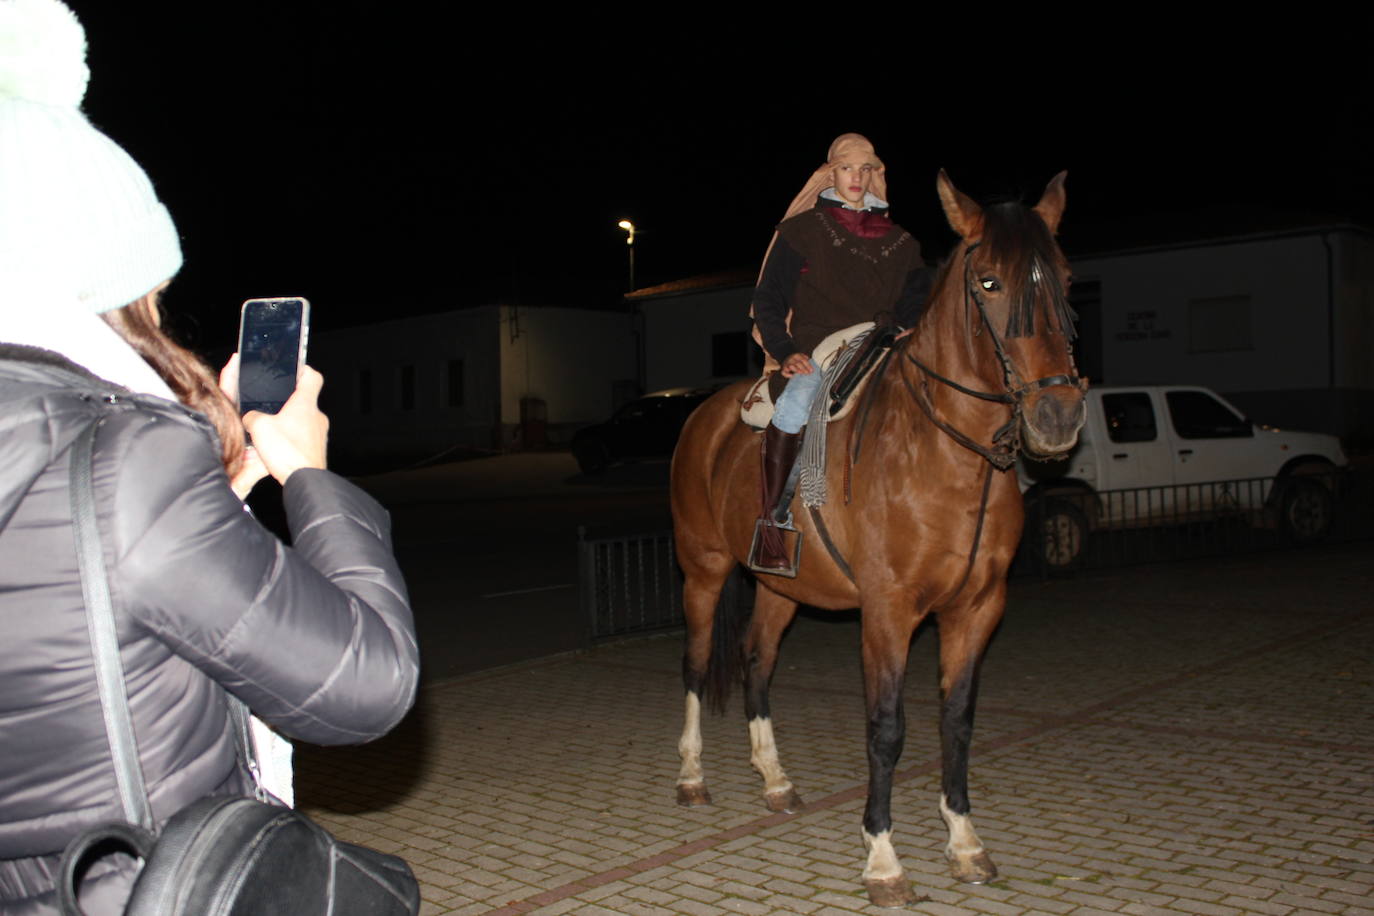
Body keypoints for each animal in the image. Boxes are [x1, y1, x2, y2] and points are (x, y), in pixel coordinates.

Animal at [665, 168, 1082, 906]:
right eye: (989, 283)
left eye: (1062, 277)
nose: (1058, 414)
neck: (946, 453)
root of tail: (704, 415)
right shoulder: (888, 612)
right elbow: (886, 728)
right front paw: (883, 860)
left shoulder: (977, 608)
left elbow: (957, 721)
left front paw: (964, 841)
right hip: (704, 570)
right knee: (694, 663)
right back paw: (692, 778)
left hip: (779, 586)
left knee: (756, 662)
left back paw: (776, 780)